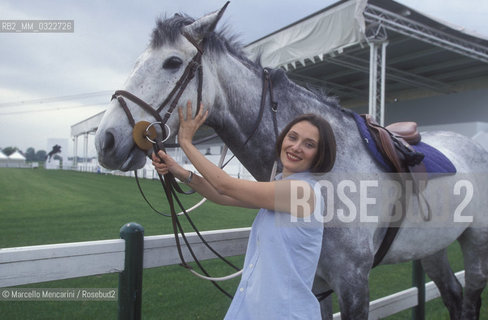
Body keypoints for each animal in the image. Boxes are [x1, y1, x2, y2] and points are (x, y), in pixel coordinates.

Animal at [96, 3, 488, 318]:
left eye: (173, 62)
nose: (105, 140)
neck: (331, 170)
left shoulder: (353, 283)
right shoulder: (316, 280)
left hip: (475, 245)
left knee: (469, 299)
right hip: (432, 248)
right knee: (453, 296)